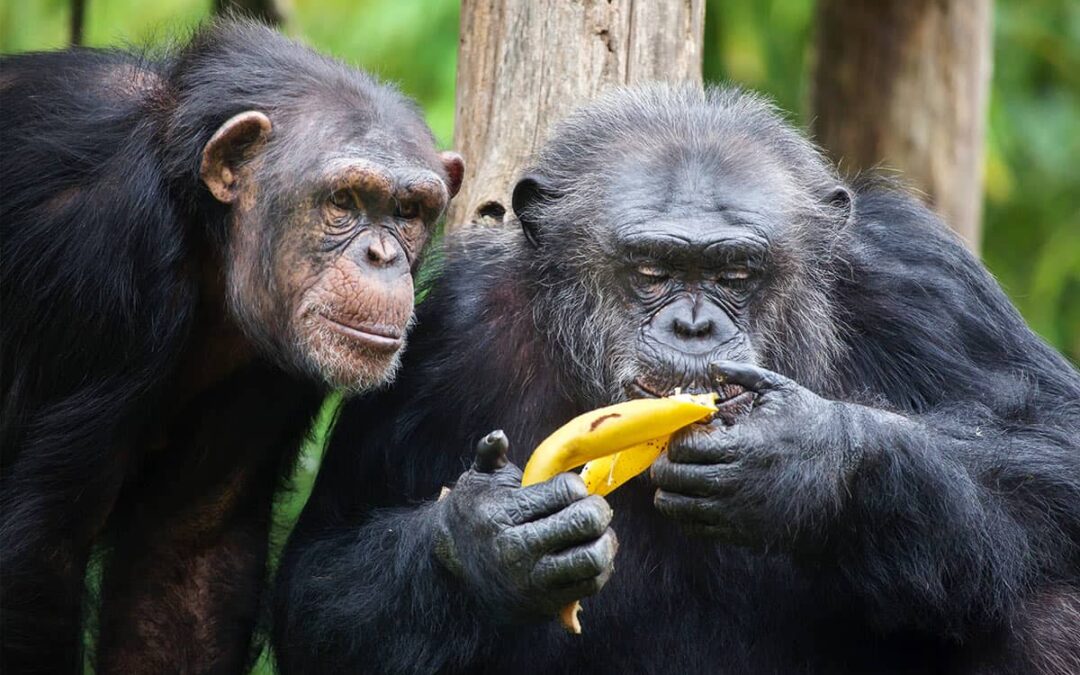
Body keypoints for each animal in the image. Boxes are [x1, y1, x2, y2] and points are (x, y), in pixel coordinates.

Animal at [1, 18, 464, 669]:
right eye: (343, 202)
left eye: (409, 210)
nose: (382, 256)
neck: (195, 217)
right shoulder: (98, 244)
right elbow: (40, 551)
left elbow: (185, 555)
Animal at [272, 85, 1080, 673]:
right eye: (653, 270)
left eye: (736, 272)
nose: (694, 326)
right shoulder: (444, 334)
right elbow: (321, 581)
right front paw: (490, 541)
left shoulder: (922, 279)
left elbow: (1057, 438)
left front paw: (808, 458)